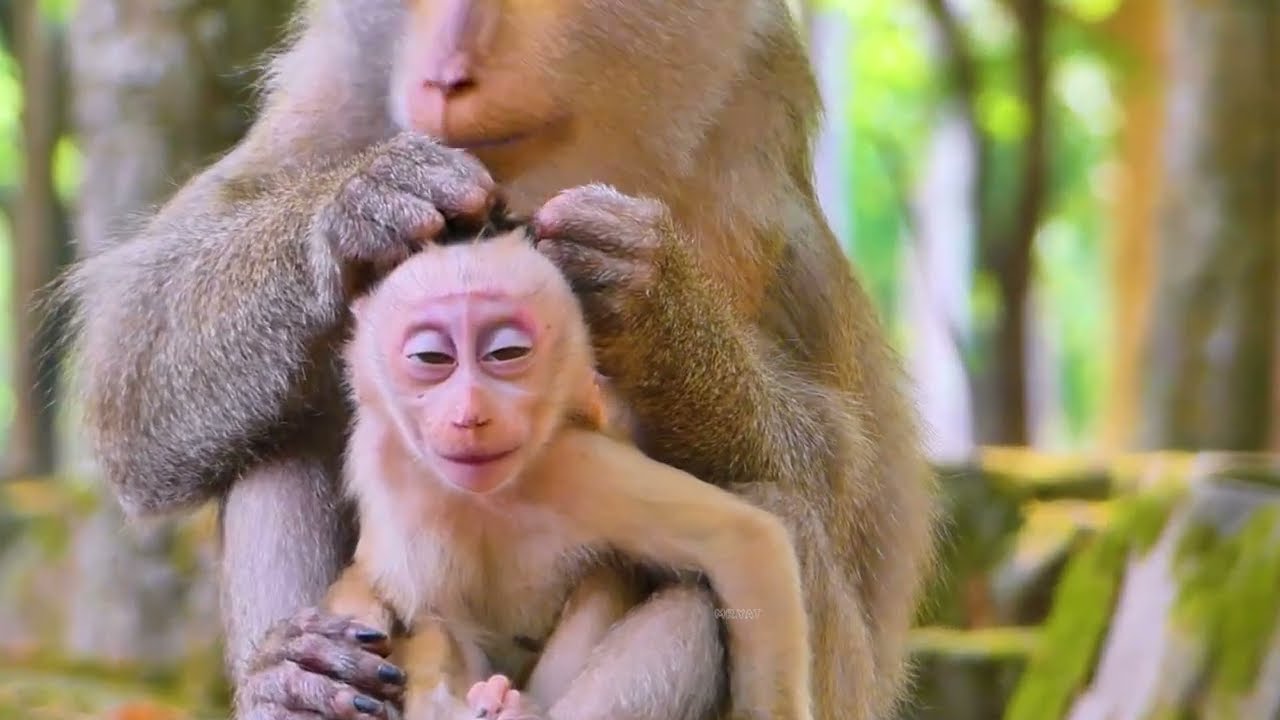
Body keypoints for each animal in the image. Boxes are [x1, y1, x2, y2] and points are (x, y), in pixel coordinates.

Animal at [324, 229, 811, 720]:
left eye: (506, 352)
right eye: (431, 357)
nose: (470, 416)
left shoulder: (571, 465)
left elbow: (743, 542)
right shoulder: (393, 482)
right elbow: (429, 616)